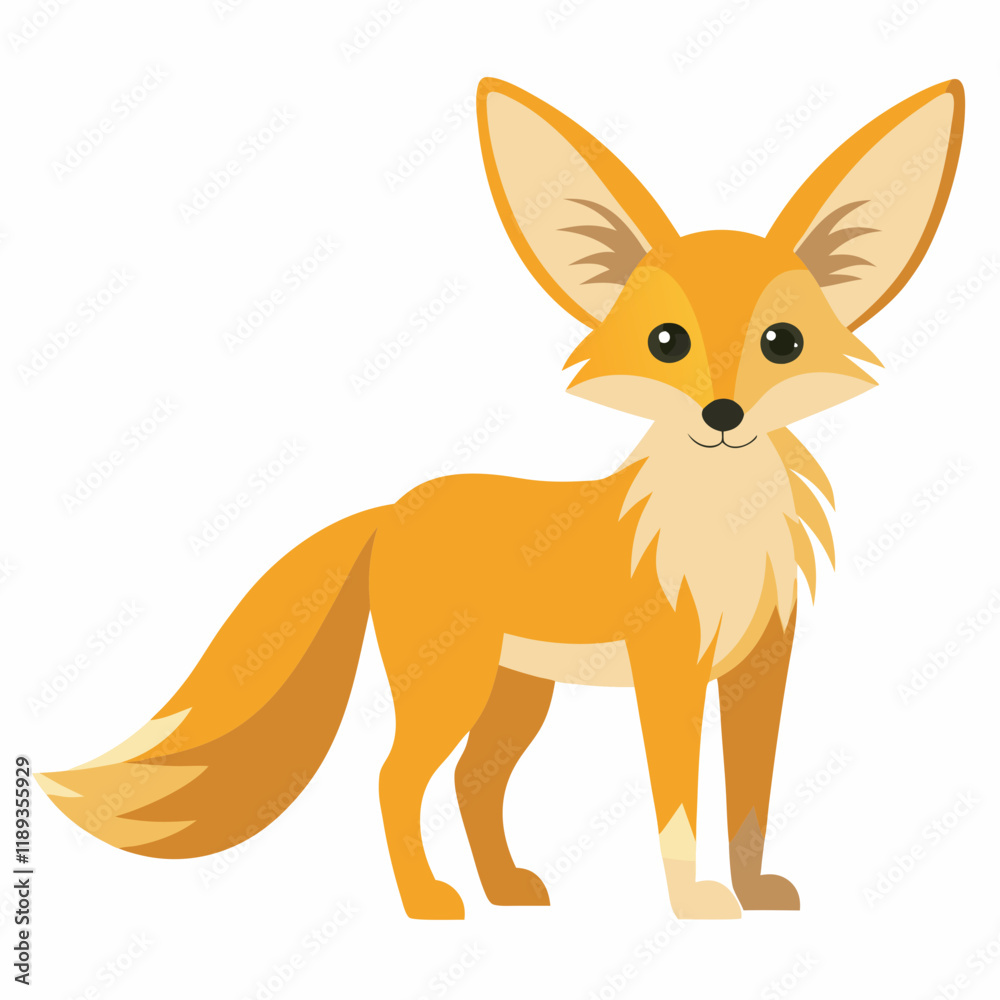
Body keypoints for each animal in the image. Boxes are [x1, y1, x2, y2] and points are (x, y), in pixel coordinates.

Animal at [38, 77, 964, 920]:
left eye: (783, 342)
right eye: (667, 342)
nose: (724, 415)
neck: (722, 523)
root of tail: (392, 510)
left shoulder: (759, 665)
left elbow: (751, 801)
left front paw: (754, 895)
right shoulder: (667, 667)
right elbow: (678, 805)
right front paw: (695, 905)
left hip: (514, 695)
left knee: (472, 785)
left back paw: (506, 892)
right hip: (453, 687)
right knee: (395, 778)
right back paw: (426, 902)